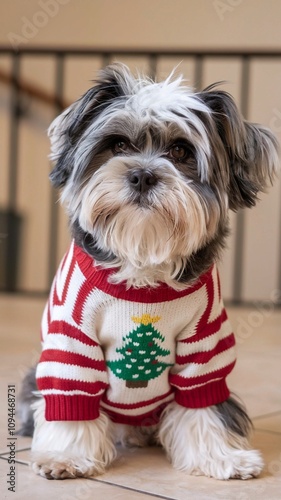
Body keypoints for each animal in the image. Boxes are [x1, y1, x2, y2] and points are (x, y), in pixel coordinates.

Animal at [19, 63, 278, 480]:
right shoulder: (71, 341)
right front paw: (66, 456)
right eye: (118, 146)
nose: (142, 175)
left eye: (180, 151)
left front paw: (221, 456)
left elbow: (205, 402)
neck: (141, 263)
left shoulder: (205, 344)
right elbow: (72, 398)